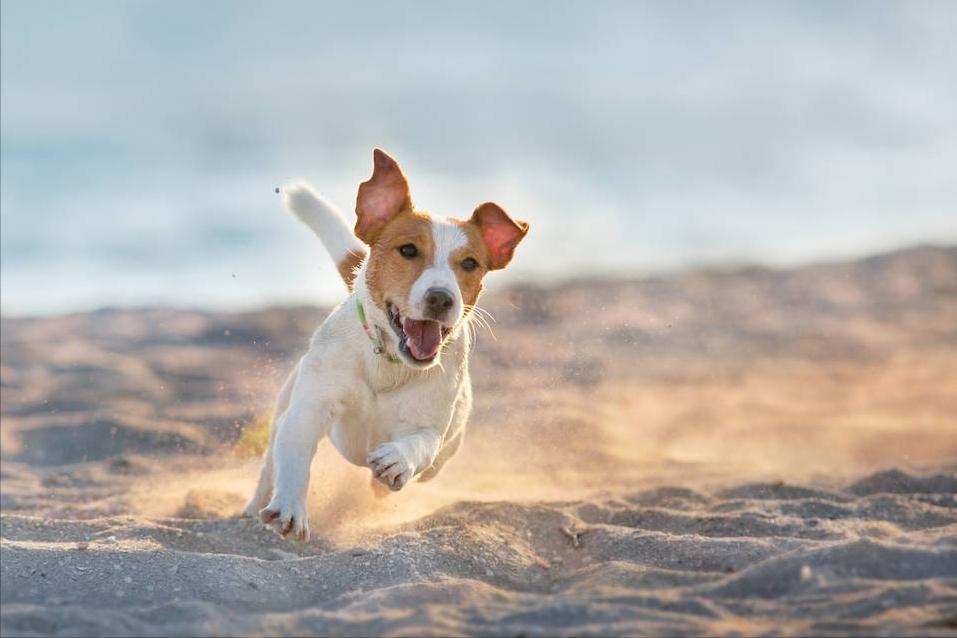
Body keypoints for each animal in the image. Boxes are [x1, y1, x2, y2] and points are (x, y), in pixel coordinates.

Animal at [245, 149, 532, 540]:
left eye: (470, 263)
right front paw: (290, 507)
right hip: (282, 409)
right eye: (408, 250)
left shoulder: (429, 429)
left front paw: (397, 460)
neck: (389, 362)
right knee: (269, 466)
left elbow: (420, 443)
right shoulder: (309, 408)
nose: (441, 298)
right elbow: (294, 455)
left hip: (446, 451)